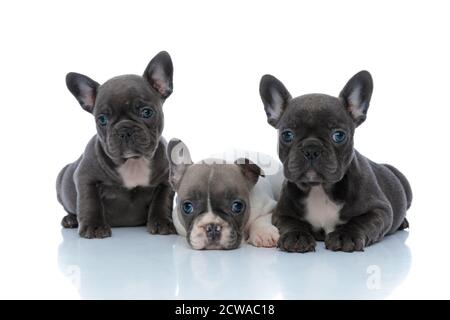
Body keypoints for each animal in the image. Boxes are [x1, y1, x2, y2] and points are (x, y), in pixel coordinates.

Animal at [55, 51, 176, 239]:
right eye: (102, 119)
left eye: (146, 112)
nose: (124, 130)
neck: (133, 162)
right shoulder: (85, 178)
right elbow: (90, 202)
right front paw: (94, 226)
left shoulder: (166, 181)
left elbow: (162, 201)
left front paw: (162, 222)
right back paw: (71, 219)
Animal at [260, 70, 412, 252]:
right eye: (287, 135)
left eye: (339, 135)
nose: (312, 148)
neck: (319, 188)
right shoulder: (281, 213)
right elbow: (291, 223)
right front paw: (296, 236)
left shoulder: (380, 210)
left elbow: (360, 221)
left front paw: (345, 235)